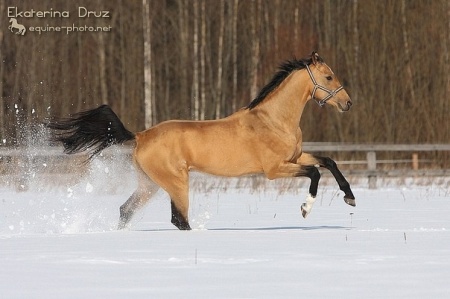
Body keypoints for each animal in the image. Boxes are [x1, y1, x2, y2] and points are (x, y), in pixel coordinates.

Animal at [48, 51, 356, 231]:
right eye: (329, 76)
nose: (348, 103)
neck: (273, 120)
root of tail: (140, 136)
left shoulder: (294, 158)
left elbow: (329, 161)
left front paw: (350, 198)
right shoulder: (274, 169)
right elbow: (315, 173)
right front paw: (305, 209)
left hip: (150, 184)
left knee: (127, 210)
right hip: (176, 183)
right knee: (178, 218)